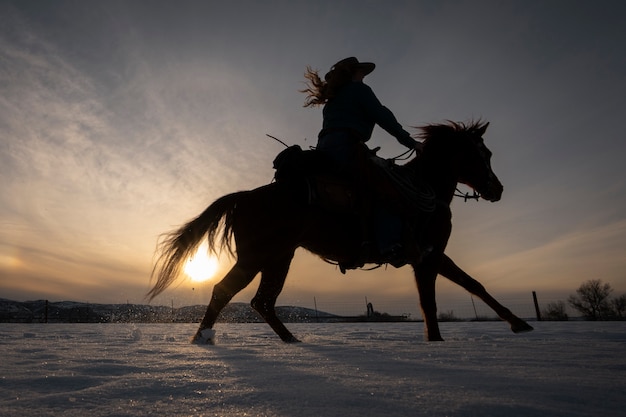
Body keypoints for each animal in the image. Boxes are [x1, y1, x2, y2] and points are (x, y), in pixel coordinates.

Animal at [147, 120, 532, 342]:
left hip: (278, 258)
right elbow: (438, 299)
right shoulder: (427, 257)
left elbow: (467, 288)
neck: (426, 192)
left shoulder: (432, 256)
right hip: (258, 257)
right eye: (482, 154)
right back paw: (203, 337)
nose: (497, 189)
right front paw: (440, 340)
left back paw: (290, 340)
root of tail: (245, 196)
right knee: (225, 291)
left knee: (261, 301)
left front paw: (515, 324)